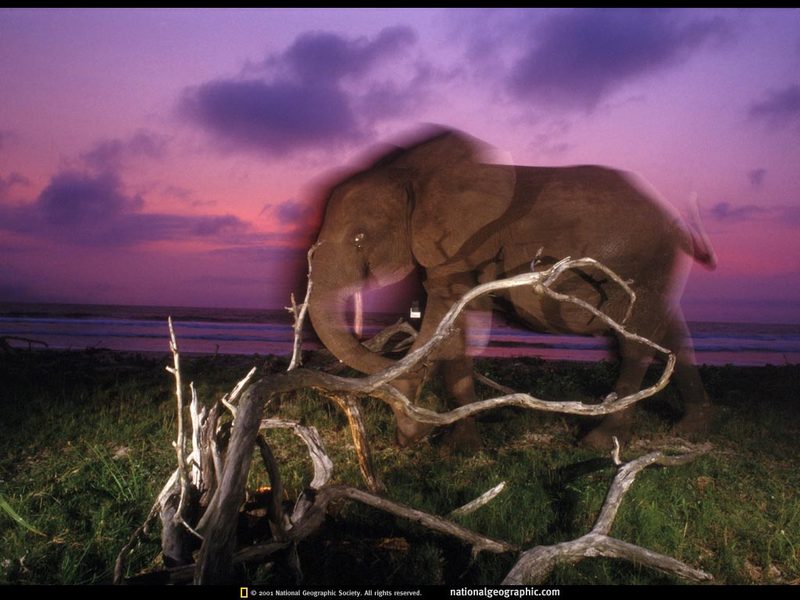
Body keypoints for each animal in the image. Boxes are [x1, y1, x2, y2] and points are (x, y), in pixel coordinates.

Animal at [308, 129, 720, 452]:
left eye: (359, 238)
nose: (408, 439)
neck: (408, 174)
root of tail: (679, 223)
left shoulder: (463, 247)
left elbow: (447, 320)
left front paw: (440, 440)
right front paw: (445, 442)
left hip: (643, 267)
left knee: (636, 345)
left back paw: (599, 442)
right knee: (674, 335)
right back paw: (690, 429)